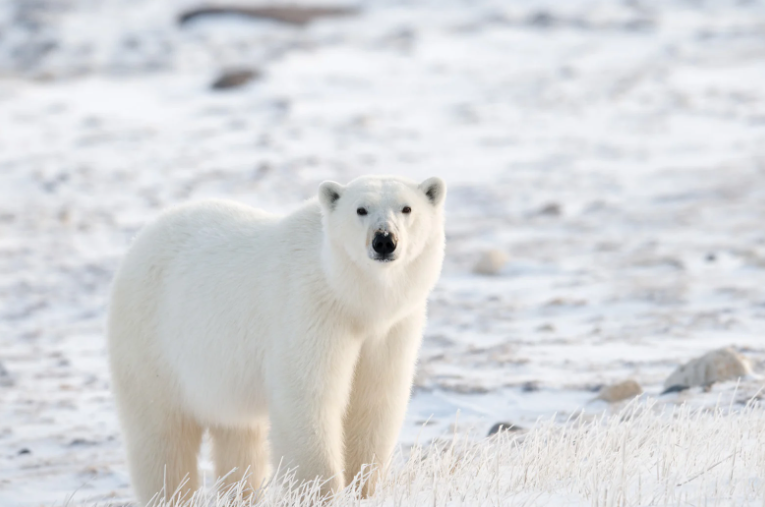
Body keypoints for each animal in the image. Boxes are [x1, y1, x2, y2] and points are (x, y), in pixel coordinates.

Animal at [107, 175, 446, 505]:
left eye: (407, 208)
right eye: (360, 209)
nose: (384, 240)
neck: (351, 298)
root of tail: (143, 236)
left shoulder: (391, 329)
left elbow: (374, 402)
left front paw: (363, 489)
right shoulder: (309, 311)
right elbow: (308, 399)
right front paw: (321, 493)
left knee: (239, 438)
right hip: (151, 345)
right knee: (162, 438)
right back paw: (170, 494)